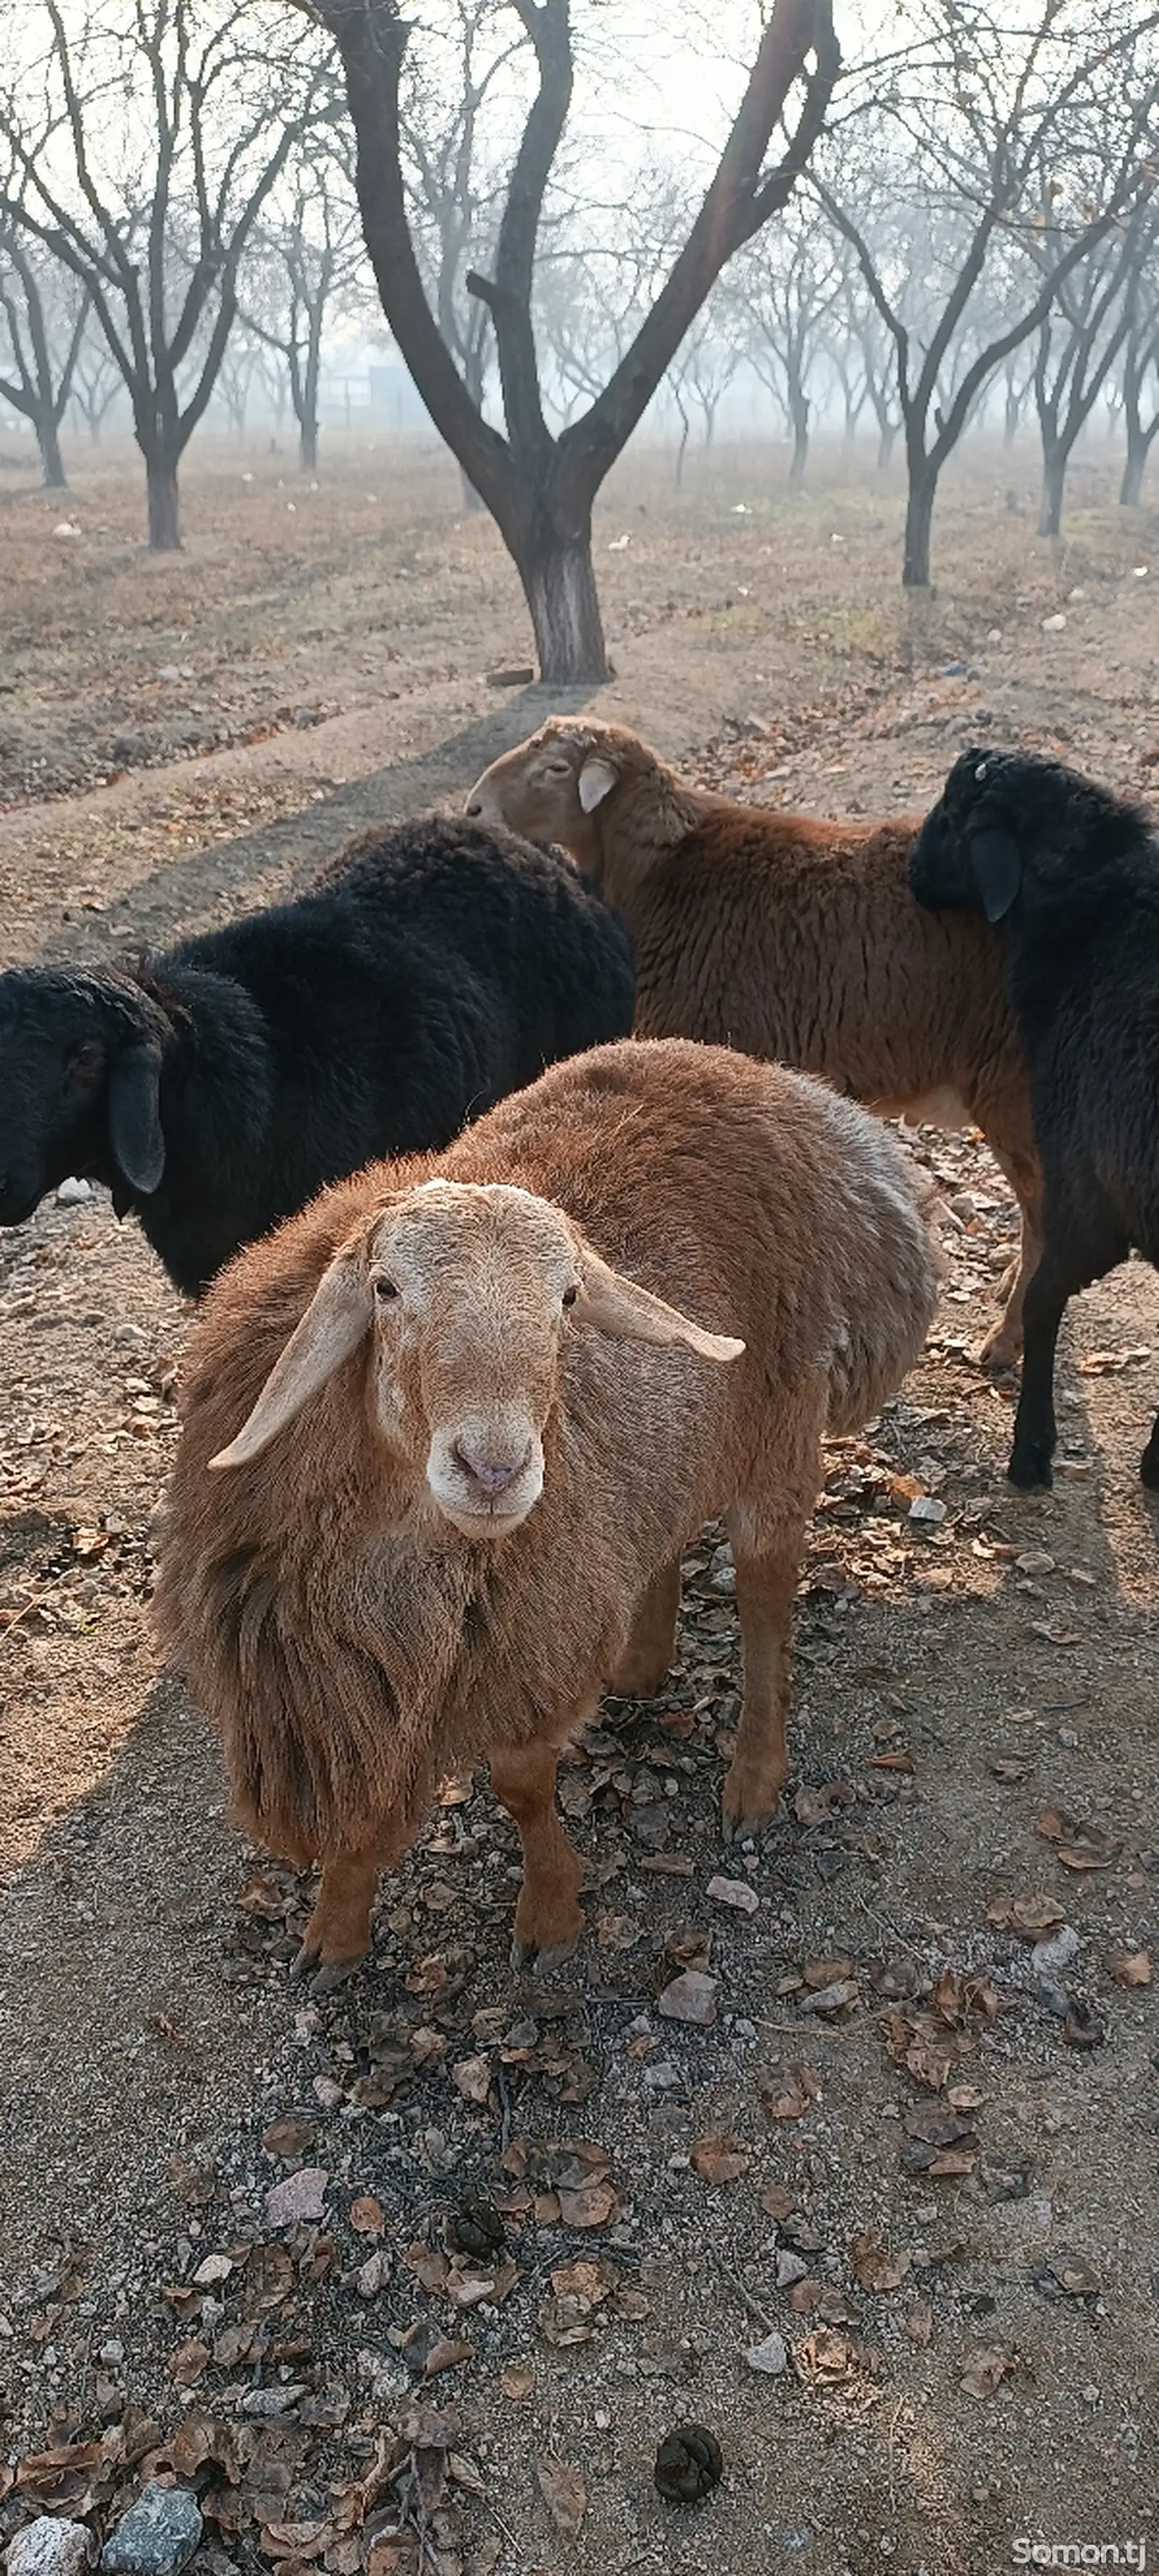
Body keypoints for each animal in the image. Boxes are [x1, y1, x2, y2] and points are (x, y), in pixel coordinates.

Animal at [154, 1035, 937, 1978]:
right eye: (384, 1288)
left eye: (567, 1299)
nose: (494, 1469)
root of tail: (795, 1094)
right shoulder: (339, 1687)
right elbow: (366, 1806)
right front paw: (336, 1926)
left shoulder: (532, 1646)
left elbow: (521, 1789)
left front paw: (549, 1913)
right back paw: (641, 1661)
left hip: (780, 1426)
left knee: (764, 1604)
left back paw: (753, 1775)